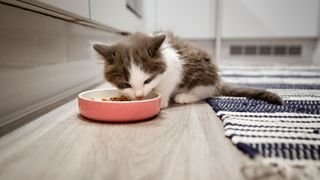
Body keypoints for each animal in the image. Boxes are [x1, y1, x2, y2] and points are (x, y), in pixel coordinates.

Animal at [92, 31, 282, 108]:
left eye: (148, 80)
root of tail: (218, 80)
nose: (139, 96)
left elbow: (166, 86)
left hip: (202, 72)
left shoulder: (174, 68)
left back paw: (184, 96)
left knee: (205, 91)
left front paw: (161, 101)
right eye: (126, 84)